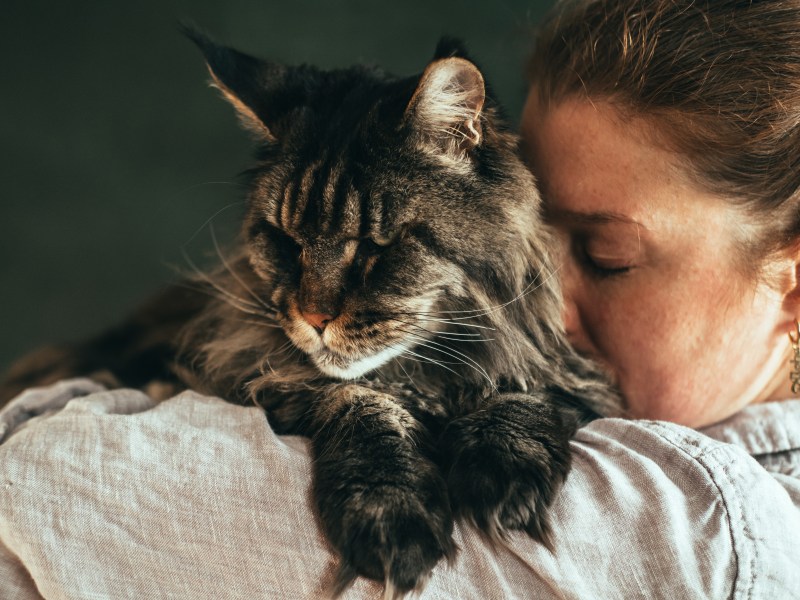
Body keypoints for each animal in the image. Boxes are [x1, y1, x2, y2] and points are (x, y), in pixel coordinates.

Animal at [0, 28, 620, 600]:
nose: (315, 319)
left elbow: (523, 394)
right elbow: (359, 404)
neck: (420, 377)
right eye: (285, 241)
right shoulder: (254, 373)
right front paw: (391, 516)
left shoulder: (574, 376)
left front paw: (504, 477)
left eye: (375, 248)